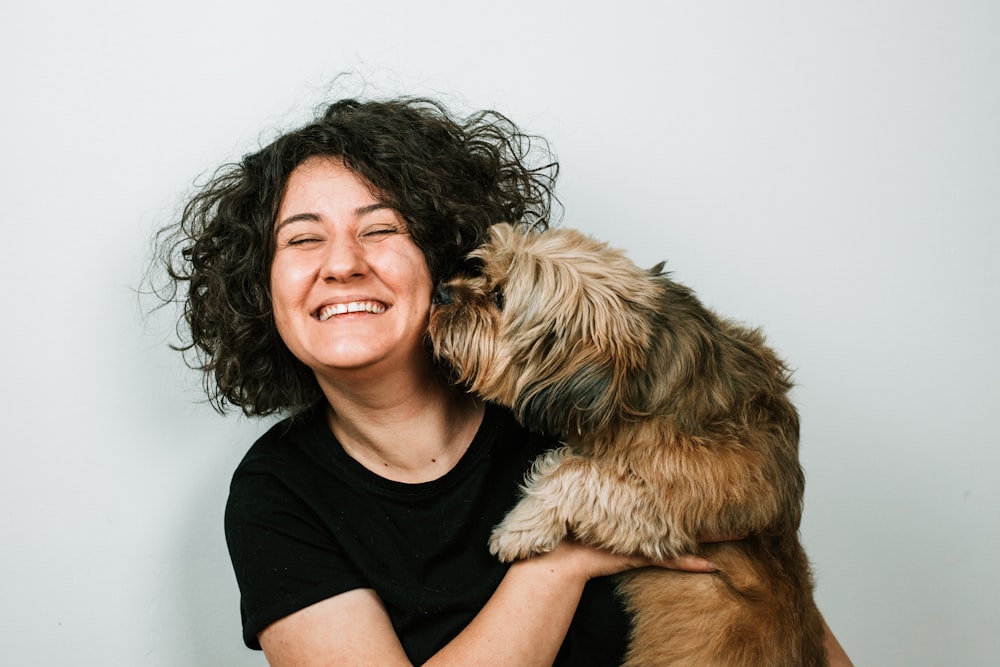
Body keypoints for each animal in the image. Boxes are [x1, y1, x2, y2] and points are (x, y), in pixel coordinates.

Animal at [430, 224, 828, 667]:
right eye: (481, 269)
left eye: (500, 298)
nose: (441, 292)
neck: (638, 382)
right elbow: (569, 463)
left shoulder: (685, 495)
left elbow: (578, 473)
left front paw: (519, 527)